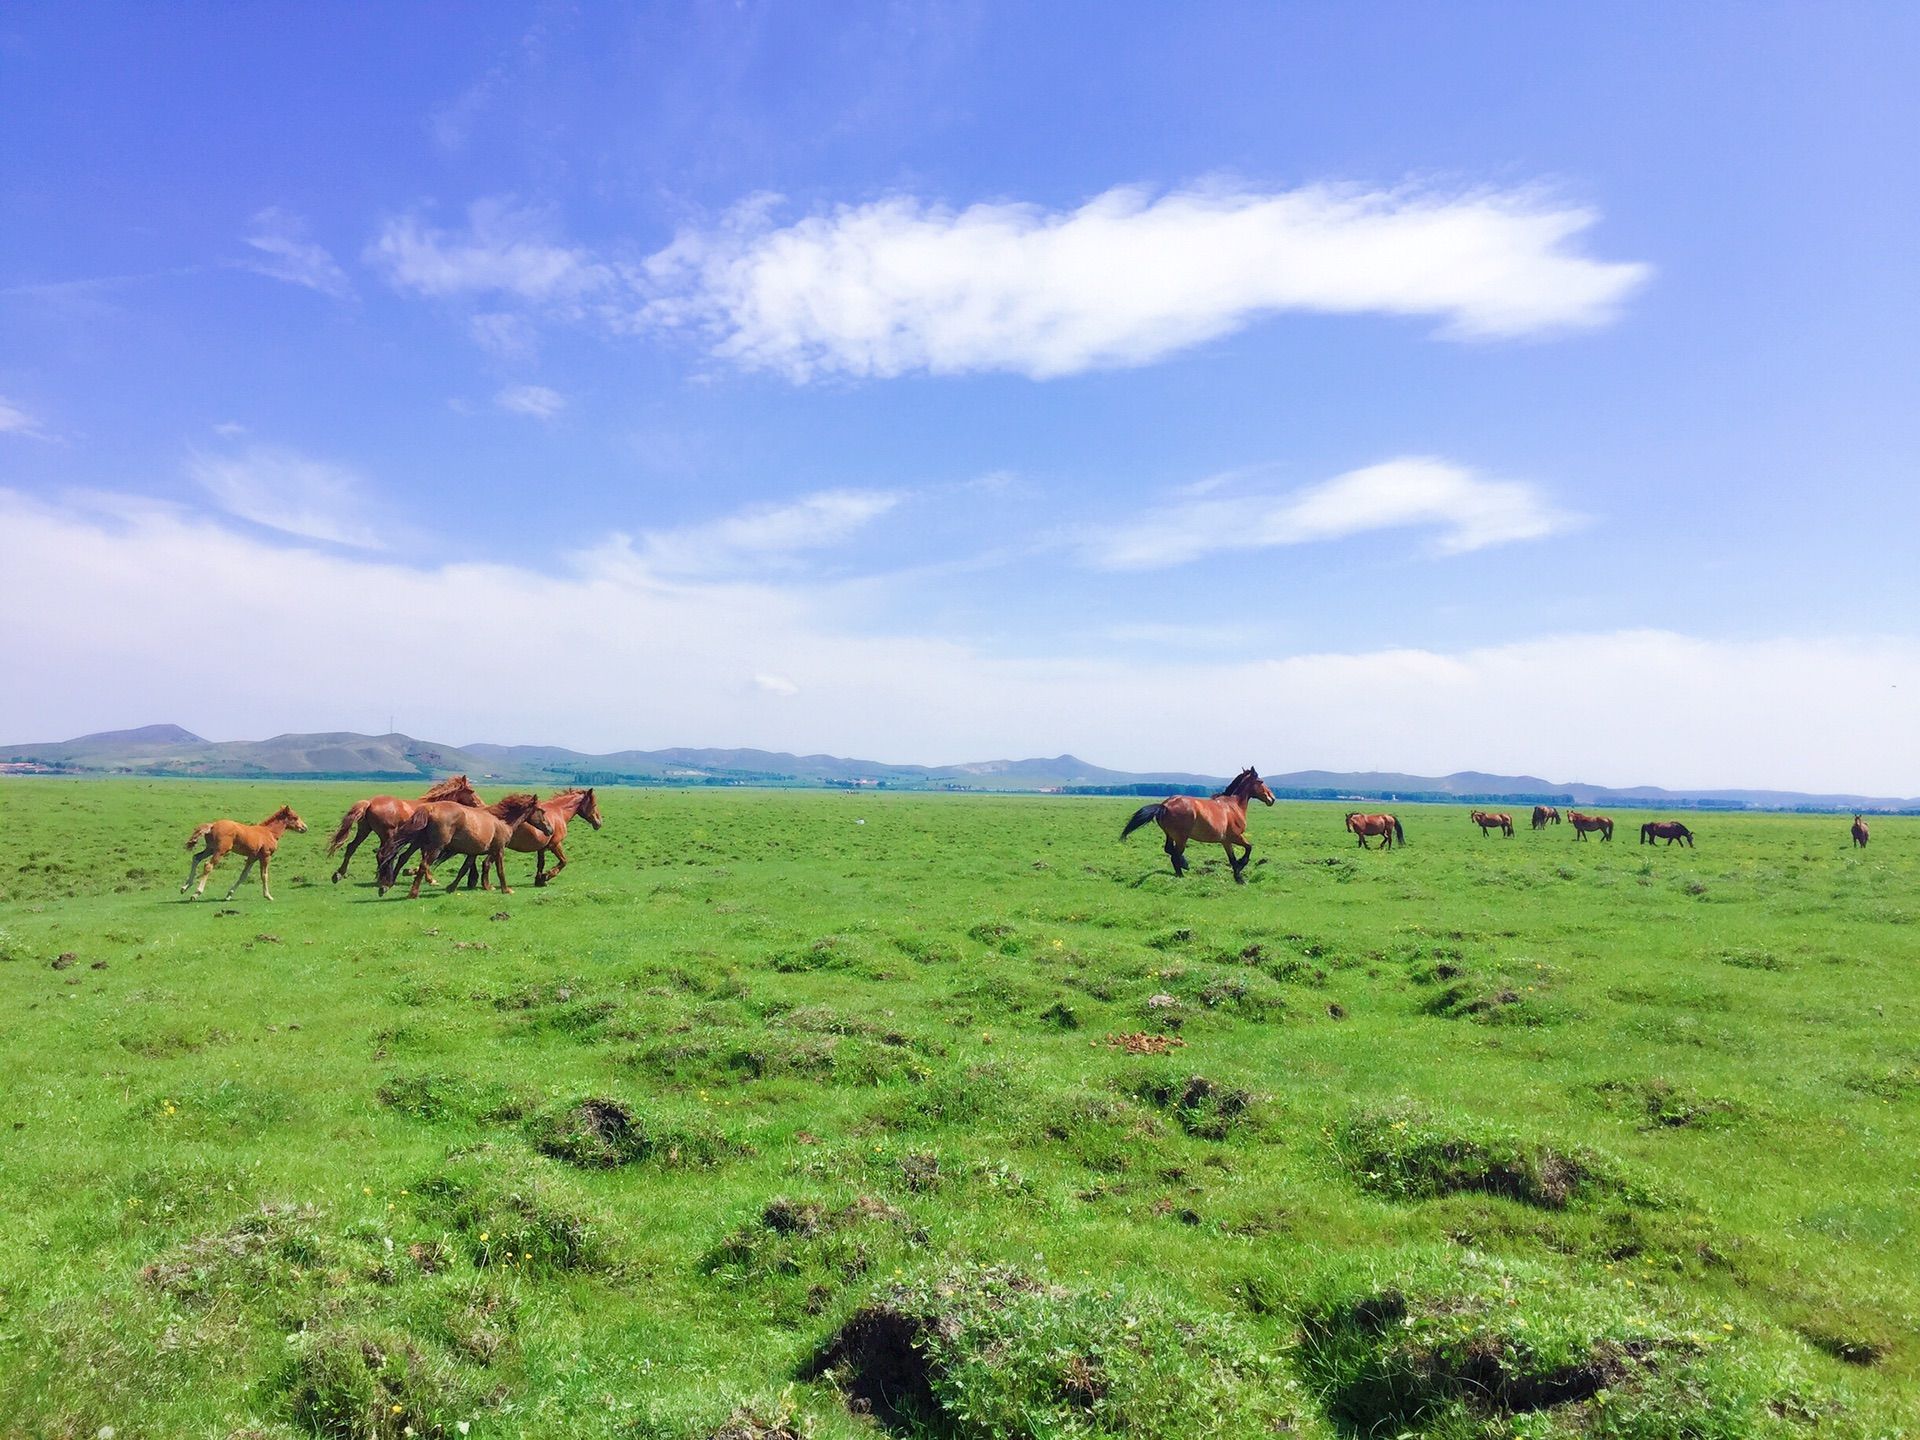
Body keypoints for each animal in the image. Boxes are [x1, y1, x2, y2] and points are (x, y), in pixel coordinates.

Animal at [328, 779, 483, 879]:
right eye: (472, 791)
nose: (480, 805)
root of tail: (370, 802)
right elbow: (425, 857)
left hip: (364, 830)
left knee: (351, 847)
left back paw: (339, 874)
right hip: (387, 834)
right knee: (382, 854)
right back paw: (381, 876)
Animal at [378, 794, 552, 898]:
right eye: (541, 811)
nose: (550, 830)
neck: (501, 821)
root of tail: (430, 808)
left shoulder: (473, 852)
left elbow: (464, 869)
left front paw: (451, 887)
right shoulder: (499, 850)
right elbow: (500, 870)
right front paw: (506, 889)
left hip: (418, 841)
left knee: (402, 857)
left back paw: (386, 886)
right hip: (435, 846)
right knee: (423, 865)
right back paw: (412, 893)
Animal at [447, 791, 602, 890]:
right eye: (594, 805)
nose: (599, 823)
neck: (559, 812)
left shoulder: (542, 848)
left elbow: (541, 863)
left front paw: (539, 880)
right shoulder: (555, 844)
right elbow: (563, 861)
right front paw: (547, 876)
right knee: (485, 863)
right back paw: (485, 885)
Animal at [1121, 771, 1274, 887]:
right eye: (1260, 781)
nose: (1272, 798)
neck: (1233, 806)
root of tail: (1164, 805)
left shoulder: (1225, 841)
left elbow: (1232, 859)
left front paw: (1238, 877)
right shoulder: (1235, 837)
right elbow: (1249, 848)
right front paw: (1241, 870)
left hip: (1171, 835)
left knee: (1169, 849)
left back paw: (1184, 865)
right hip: (1181, 838)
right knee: (1175, 855)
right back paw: (1181, 873)